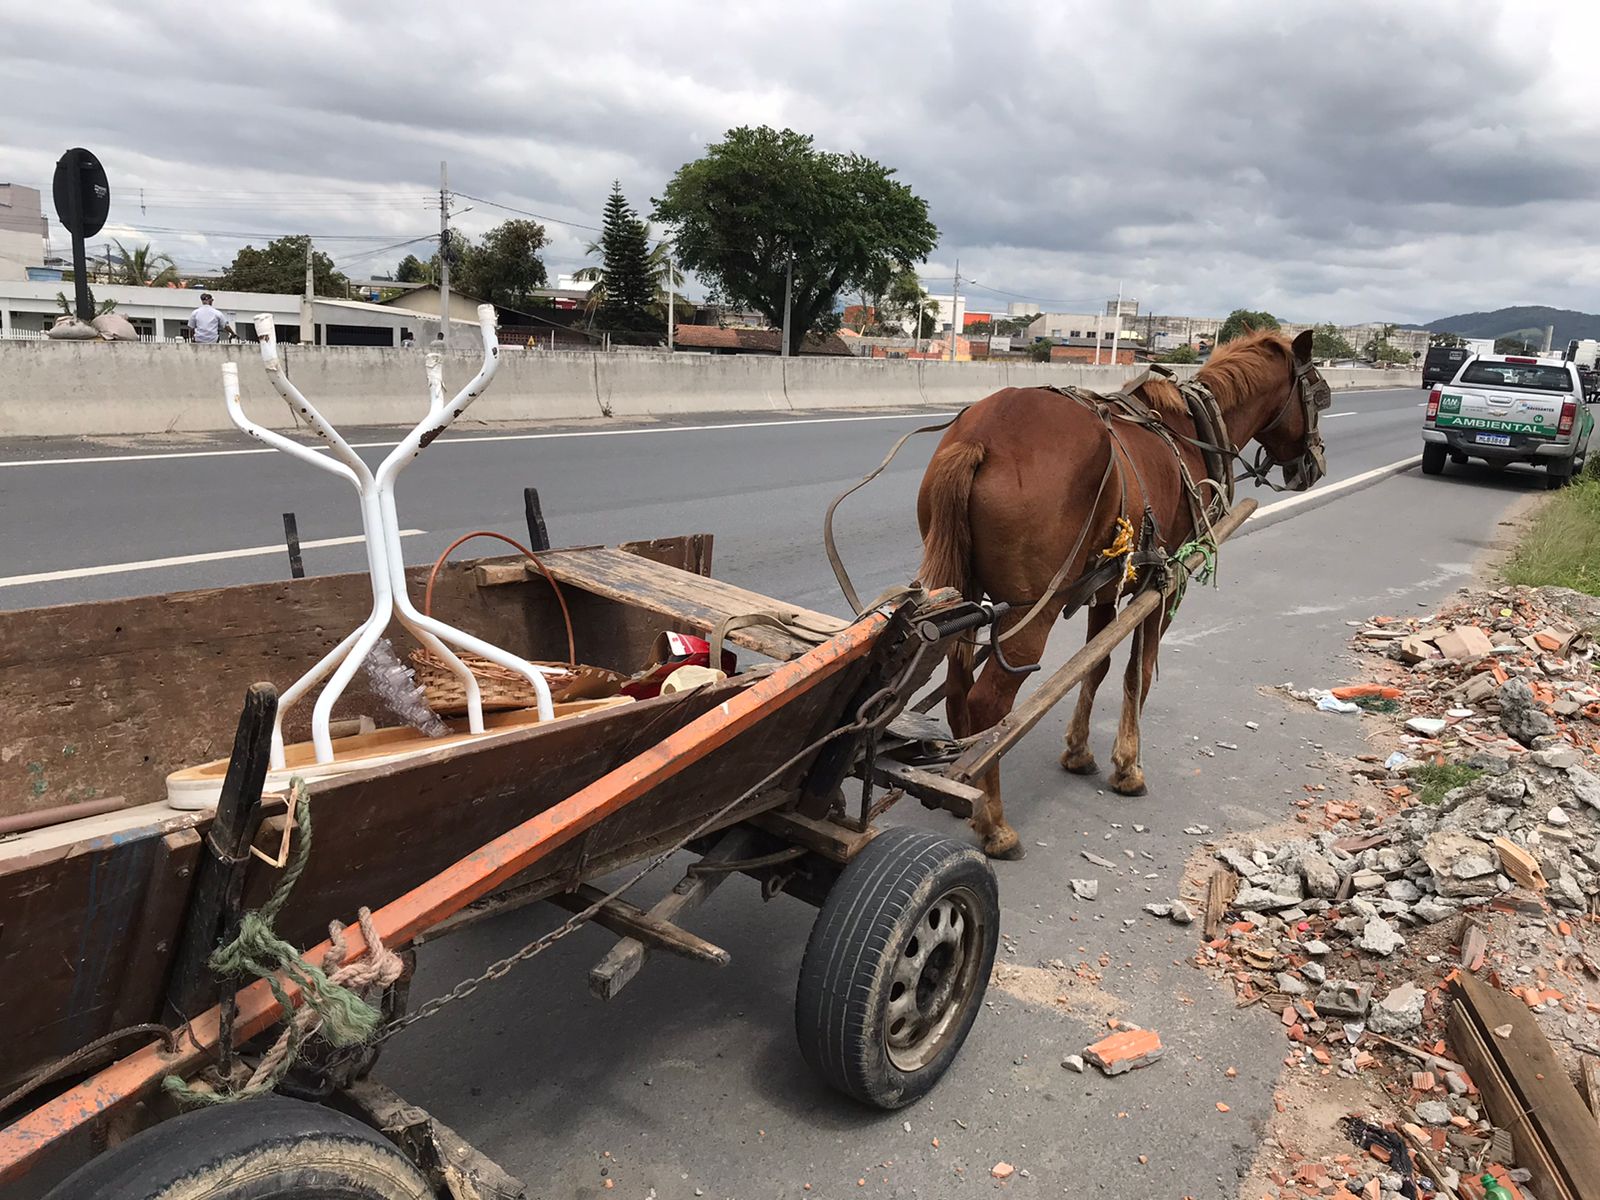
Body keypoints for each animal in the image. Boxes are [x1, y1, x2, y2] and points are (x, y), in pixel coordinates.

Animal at [921, 329, 1331, 857]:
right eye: (1319, 393)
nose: (1314, 465)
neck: (1191, 429)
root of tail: (979, 438)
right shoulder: (1164, 583)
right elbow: (1139, 672)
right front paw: (1129, 767)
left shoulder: (1103, 588)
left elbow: (1095, 666)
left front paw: (1078, 751)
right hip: (1035, 609)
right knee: (987, 703)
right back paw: (994, 824)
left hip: (962, 592)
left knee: (956, 688)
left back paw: (964, 787)